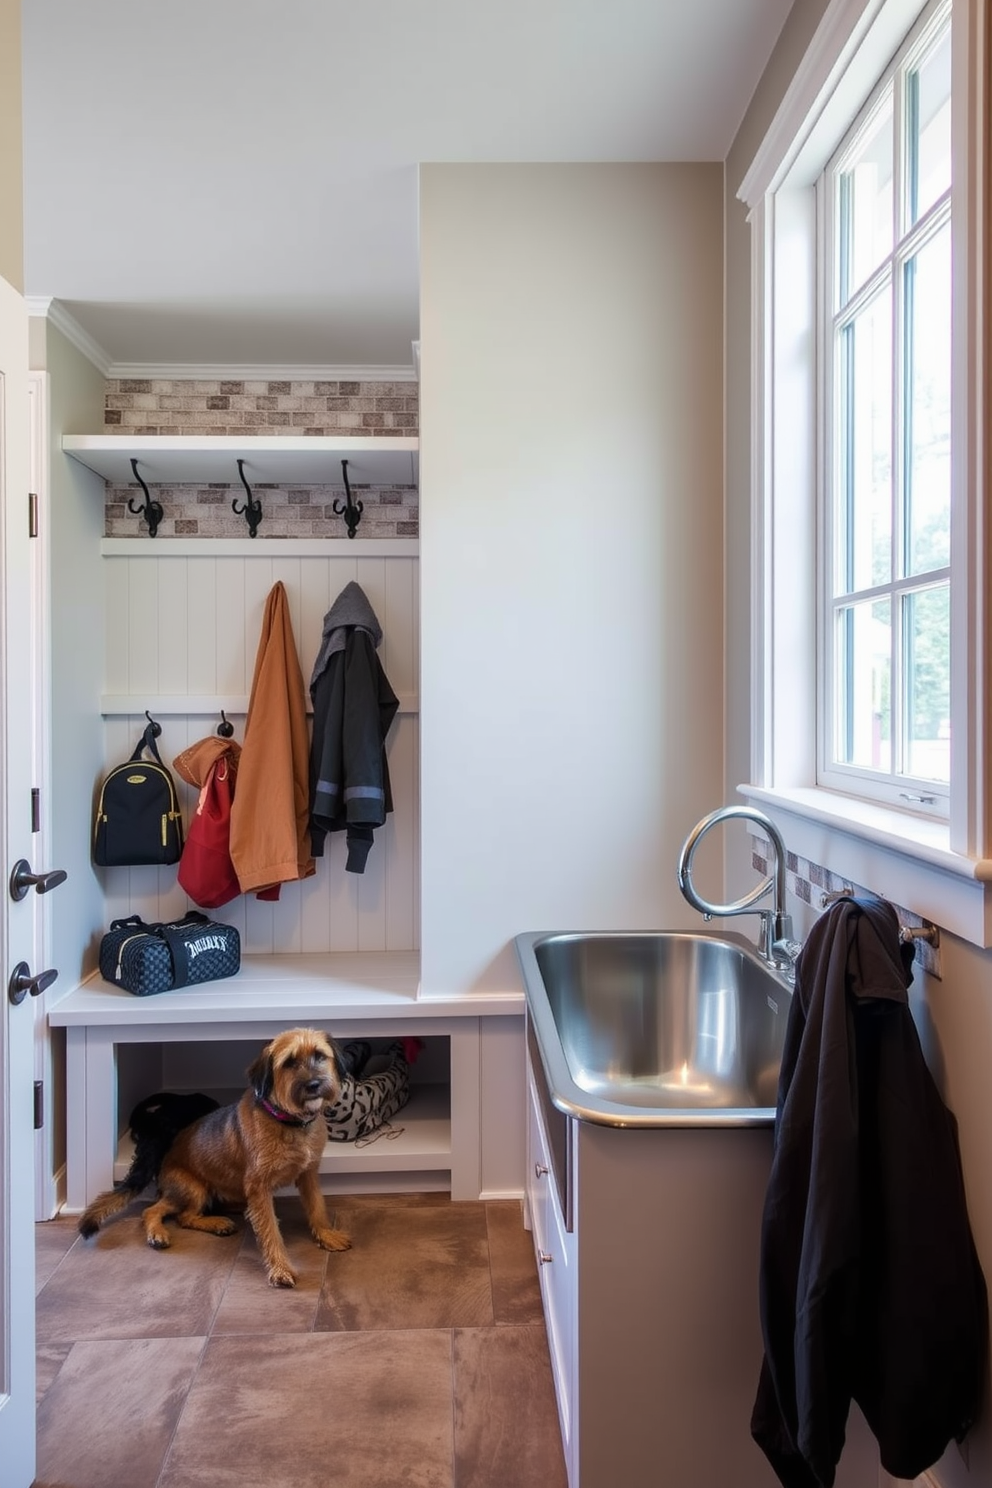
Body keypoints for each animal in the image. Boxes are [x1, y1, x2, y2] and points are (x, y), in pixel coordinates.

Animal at [141, 1029, 352, 1285]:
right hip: (192, 1188)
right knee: (166, 1213)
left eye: (320, 1055)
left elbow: (317, 1206)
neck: (288, 1121)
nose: (313, 1084)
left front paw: (326, 1234)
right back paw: (162, 1231)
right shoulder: (258, 1187)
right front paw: (280, 1268)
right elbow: (271, 1231)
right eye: (289, 1062)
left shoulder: (308, 1174)